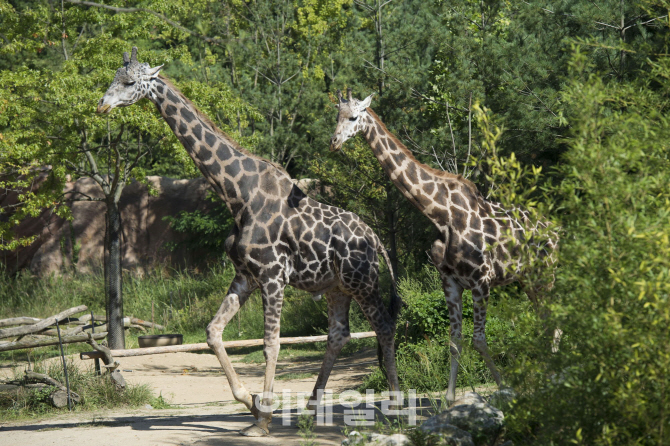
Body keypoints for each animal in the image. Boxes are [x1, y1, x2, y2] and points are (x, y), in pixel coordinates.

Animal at [97, 48, 402, 436]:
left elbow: (271, 344)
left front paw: (264, 418)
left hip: (362, 281)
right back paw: (310, 408)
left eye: (130, 82)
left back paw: (395, 407)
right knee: (338, 335)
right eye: (113, 77)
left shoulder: (273, 276)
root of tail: (375, 238)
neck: (237, 195)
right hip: (337, 287)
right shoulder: (246, 275)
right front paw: (251, 402)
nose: (101, 105)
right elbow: (213, 332)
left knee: (384, 326)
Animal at [328, 89, 560, 402]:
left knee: (553, 321)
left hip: (547, 273)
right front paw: (450, 399)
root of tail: (557, 230)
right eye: (336, 117)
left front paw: (505, 387)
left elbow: (479, 340)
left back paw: (553, 375)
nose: (334, 142)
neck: (441, 214)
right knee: (545, 320)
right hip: (529, 279)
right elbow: (455, 340)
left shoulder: (481, 280)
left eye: (353, 117)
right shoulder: (450, 281)